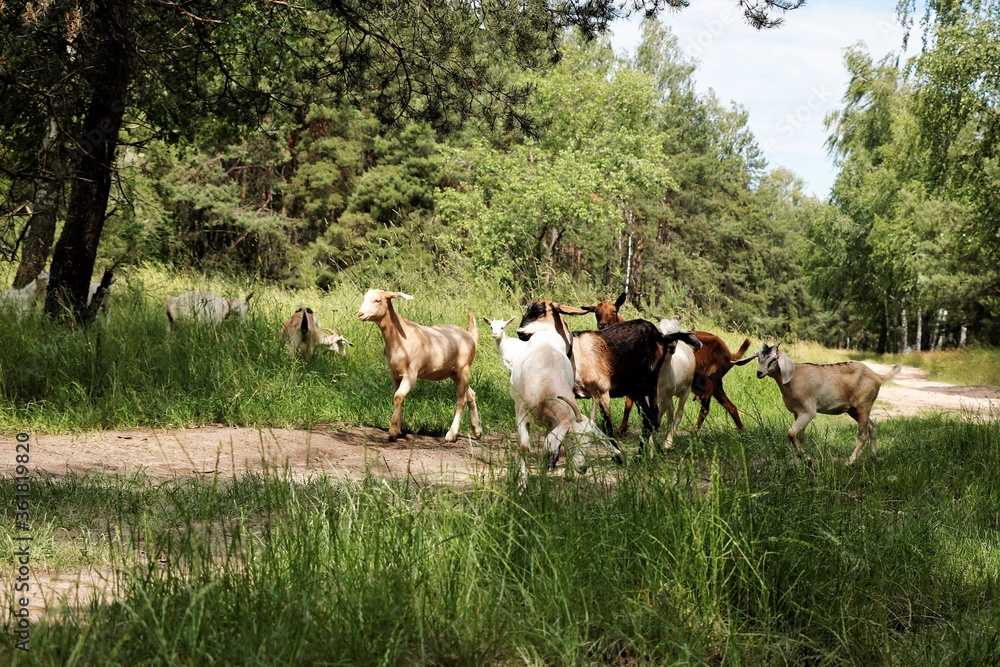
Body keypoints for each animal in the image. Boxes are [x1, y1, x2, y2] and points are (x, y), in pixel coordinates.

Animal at [357, 289, 482, 442]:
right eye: (364, 298)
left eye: (378, 300)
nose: (360, 314)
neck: (399, 338)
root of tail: (470, 336)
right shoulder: (395, 374)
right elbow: (398, 397)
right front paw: (398, 427)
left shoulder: (411, 374)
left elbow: (398, 396)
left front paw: (393, 431)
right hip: (454, 373)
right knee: (471, 394)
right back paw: (477, 430)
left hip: (464, 368)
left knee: (461, 400)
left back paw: (451, 435)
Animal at [755, 342, 901, 464]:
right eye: (759, 358)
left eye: (774, 359)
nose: (759, 373)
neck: (794, 377)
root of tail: (878, 376)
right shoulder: (797, 412)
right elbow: (800, 435)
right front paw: (803, 459)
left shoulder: (808, 412)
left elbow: (791, 433)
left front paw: (806, 458)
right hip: (853, 409)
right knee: (872, 427)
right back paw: (874, 457)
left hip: (864, 404)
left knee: (863, 434)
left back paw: (850, 462)